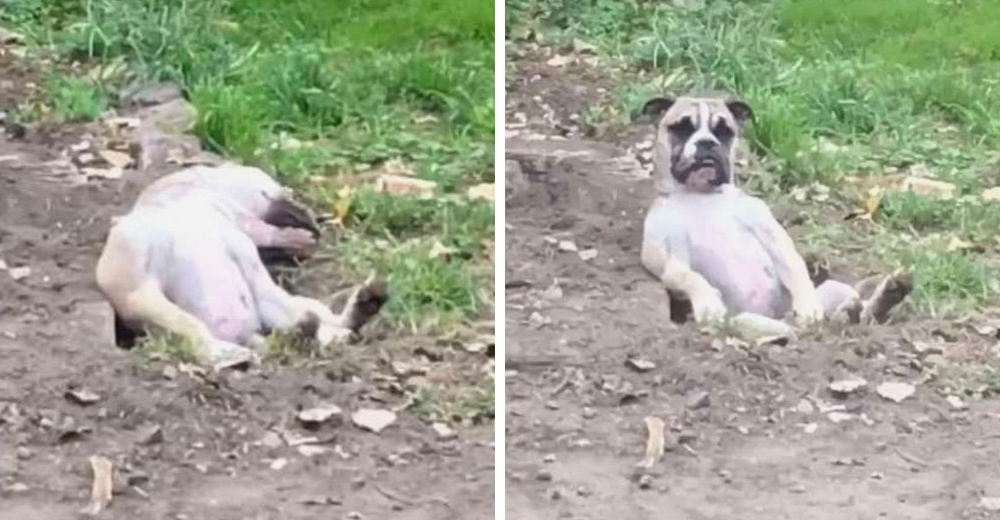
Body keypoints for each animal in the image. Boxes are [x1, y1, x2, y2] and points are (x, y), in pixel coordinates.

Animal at [632, 92, 916, 330]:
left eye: (724, 131)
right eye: (681, 128)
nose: (707, 142)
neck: (702, 196)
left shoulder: (772, 235)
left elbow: (795, 267)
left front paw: (807, 304)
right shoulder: (669, 256)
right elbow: (688, 276)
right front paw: (709, 303)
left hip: (835, 290)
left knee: (856, 309)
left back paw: (874, 302)